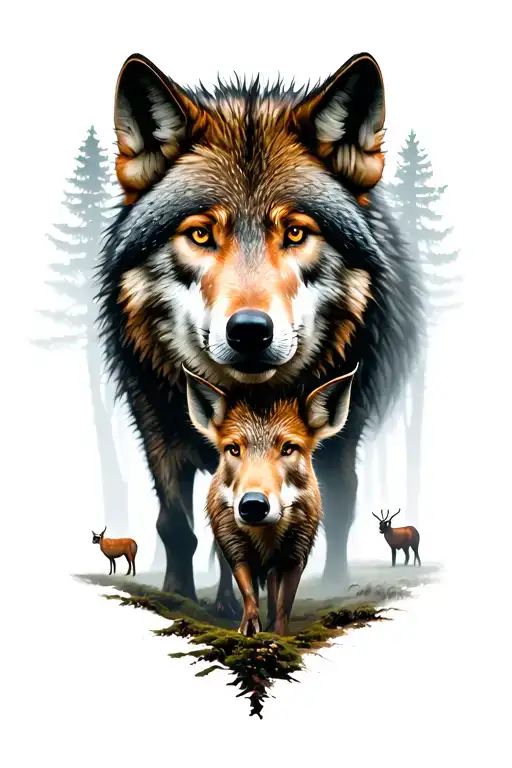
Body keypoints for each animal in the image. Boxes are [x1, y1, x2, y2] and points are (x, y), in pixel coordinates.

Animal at [183, 363, 358, 637]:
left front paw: (278, 634)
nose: (253, 504)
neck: (265, 537)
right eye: (233, 448)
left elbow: (283, 604)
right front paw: (248, 629)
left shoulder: (296, 556)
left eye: (289, 448)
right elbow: (248, 592)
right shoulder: (235, 549)